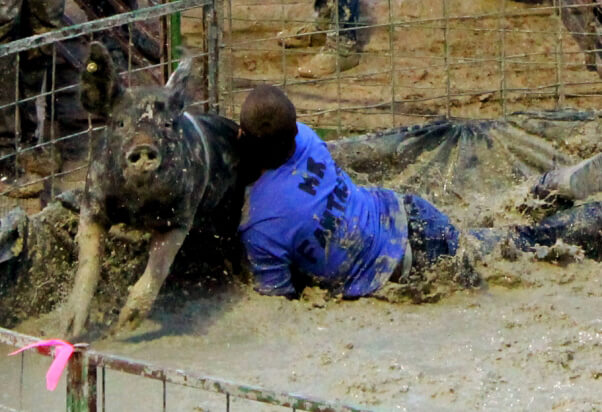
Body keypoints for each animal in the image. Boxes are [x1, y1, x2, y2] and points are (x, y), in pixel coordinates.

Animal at [62, 42, 245, 338]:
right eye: (120, 123)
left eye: (167, 124)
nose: (144, 148)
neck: (137, 206)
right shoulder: (94, 201)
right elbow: (88, 261)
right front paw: (69, 330)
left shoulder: (180, 216)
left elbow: (159, 265)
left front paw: (124, 326)